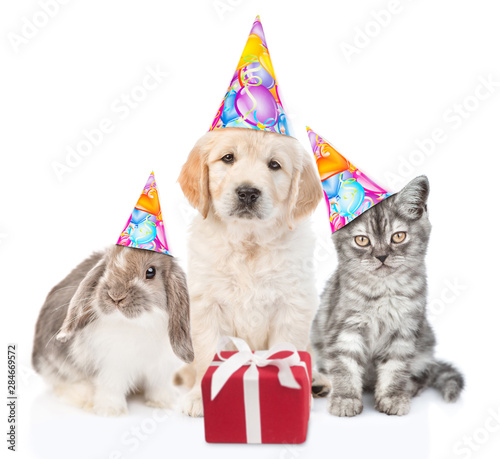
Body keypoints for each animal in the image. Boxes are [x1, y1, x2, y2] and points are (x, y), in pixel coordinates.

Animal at [32, 246, 194, 418]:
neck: (138, 324)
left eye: (151, 272)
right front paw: (111, 411)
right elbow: (111, 388)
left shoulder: (160, 369)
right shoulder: (111, 367)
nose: (116, 296)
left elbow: (159, 386)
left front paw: (165, 402)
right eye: (107, 268)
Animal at [178, 127, 322, 418]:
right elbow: (208, 355)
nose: (247, 193)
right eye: (228, 158)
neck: (249, 244)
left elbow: (286, 353)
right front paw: (201, 396)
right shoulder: (206, 306)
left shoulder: (293, 306)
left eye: (274, 165)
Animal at [312, 176, 464, 416]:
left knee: (427, 373)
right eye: (362, 240)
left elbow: (396, 367)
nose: (382, 256)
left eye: (398, 236)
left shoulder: (404, 330)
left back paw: (409, 388)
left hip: (426, 343)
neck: (383, 291)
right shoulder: (346, 327)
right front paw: (345, 399)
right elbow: (345, 365)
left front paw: (392, 397)